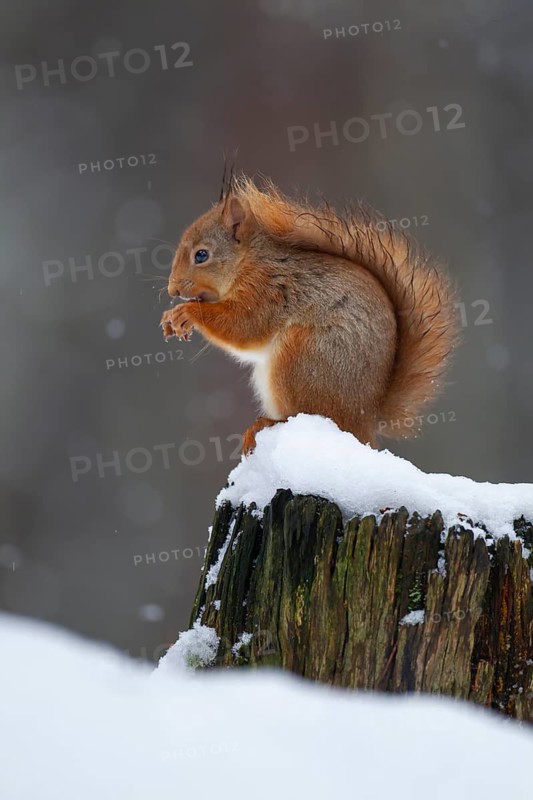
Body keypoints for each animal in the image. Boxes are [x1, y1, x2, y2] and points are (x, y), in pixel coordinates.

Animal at [161, 172, 460, 453]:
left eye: (201, 255)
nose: (173, 289)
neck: (249, 262)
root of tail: (365, 420)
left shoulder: (267, 291)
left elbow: (244, 327)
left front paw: (185, 313)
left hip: (301, 358)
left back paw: (266, 423)